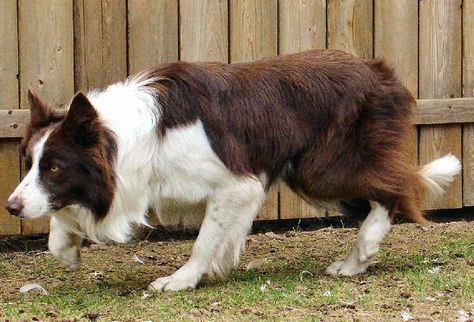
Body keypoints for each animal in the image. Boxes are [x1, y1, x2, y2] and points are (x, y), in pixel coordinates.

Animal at [5, 49, 462, 292]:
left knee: (396, 189)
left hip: (322, 168)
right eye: (30, 163)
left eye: (55, 166)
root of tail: (379, 71)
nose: (10, 207)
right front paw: (67, 247)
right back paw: (355, 262)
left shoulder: (237, 186)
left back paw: (362, 251)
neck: (126, 136)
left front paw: (182, 279)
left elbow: (204, 241)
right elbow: (59, 225)